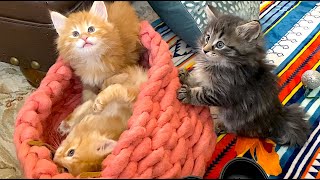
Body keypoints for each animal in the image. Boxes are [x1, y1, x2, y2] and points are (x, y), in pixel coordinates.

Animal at [178, 4, 310, 147]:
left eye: (220, 44)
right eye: (207, 38)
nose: (205, 50)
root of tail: (277, 116)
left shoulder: (224, 93)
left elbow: (201, 94)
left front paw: (187, 94)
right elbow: (196, 78)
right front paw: (185, 75)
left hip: (234, 120)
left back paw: (218, 126)